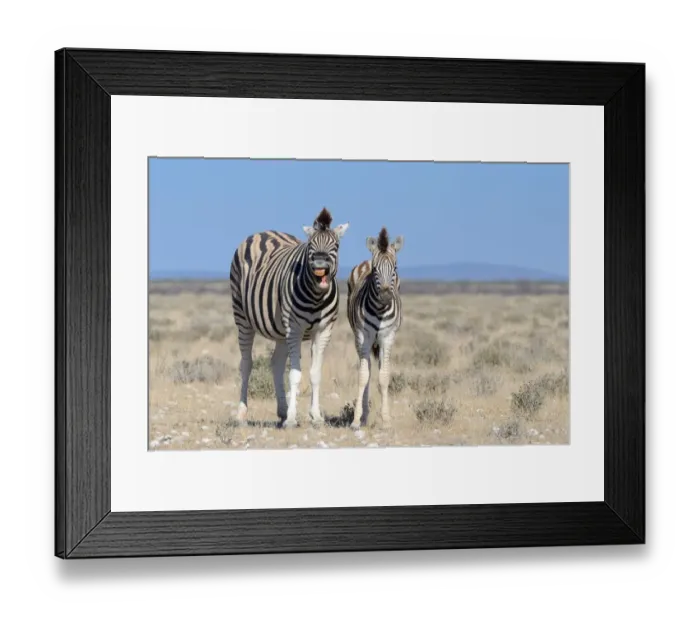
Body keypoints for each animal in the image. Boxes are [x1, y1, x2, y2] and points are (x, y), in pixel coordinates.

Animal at [229, 208, 349, 429]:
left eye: (335, 246)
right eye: (311, 246)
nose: (320, 264)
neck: (316, 297)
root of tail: (263, 232)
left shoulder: (324, 330)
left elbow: (315, 374)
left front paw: (315, 416)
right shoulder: (294, 329)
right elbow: (294, 374)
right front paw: (292, 418)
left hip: (280, 331)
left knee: (276, 363)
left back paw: (282, 411)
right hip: (243, 318)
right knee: (246, 364)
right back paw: (242, 413)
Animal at [346, 227, 403, 429]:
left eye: (395, 268)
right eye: (376, 270)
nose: (386, 297)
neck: (379, 310)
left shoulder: (388, 337)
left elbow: (384, 377)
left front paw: (385, 419)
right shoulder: (363, 336)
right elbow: (363, 376)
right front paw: (356, 419)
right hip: (361, 339)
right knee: (368, 370)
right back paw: (364, 416)